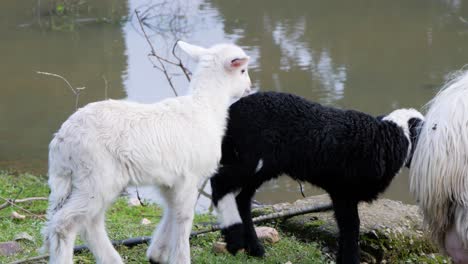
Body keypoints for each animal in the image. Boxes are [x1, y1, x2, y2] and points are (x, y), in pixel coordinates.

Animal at [40, 41, 252, 264]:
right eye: (243, 70)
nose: (249, 87)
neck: (206, 108)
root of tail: (61, 141)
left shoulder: (170, 180)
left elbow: (172, 209)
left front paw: (157, 254)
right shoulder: (189, 176)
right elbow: (184, 216)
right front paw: (180, 258)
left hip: (87, 181)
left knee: (90, 223)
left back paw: (112, 260)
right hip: (95, 176)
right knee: (65, 224)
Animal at [212, 91, 424, 264]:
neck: (386, 137)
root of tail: (233, 111)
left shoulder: (341, 194)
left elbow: (345, 228)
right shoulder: (344, 192)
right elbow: (351, 228)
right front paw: (350, 260)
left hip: (261, 169)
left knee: (242, 199)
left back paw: (255, 249)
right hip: (251, 162)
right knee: (219, 182)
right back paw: (234, 240)